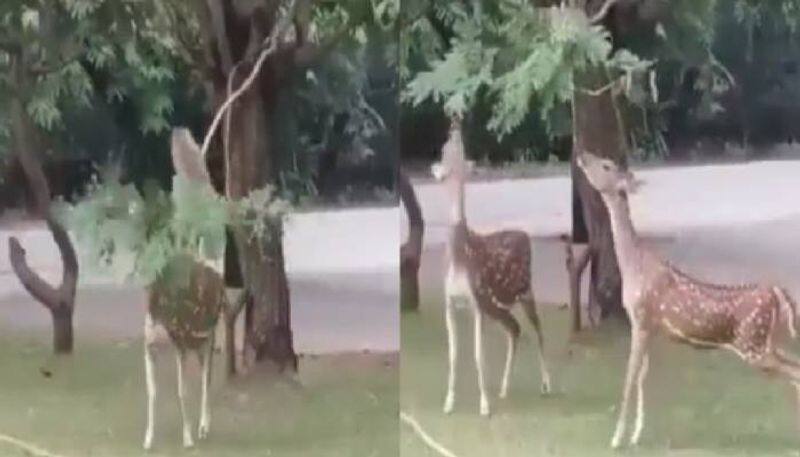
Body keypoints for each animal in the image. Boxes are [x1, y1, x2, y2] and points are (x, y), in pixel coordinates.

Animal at [432, 117, 552, 416]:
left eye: (460, 148)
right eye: (446, 150)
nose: (454, 126)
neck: (459, 255)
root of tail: (524, 235)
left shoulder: (476, 301)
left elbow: (478, 354)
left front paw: (484, 405)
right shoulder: (450, 301)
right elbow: (453, 355)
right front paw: (449, 402)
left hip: (525, 290)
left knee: (537, 328)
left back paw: (546, 384)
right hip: (495, 303)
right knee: (515, 329)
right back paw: (504, 388)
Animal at [576, 150, 800, 446]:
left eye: (606, 165)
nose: (581, 154)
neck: (633, 265)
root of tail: (774, 290)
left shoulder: (641, 318)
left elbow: (629, 378)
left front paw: (616, 438)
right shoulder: (651, 327)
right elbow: (642, 377)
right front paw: (636, 435)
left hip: (753, 344)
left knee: (795, 371)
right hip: (766, 340)